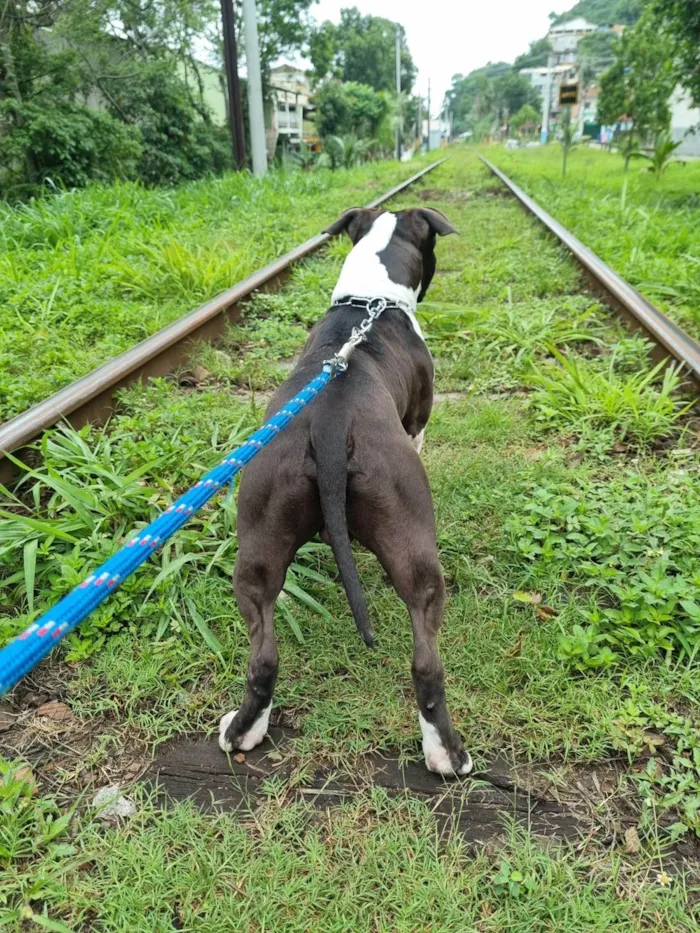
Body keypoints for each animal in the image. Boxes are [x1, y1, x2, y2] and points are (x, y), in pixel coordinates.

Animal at [219, 208, 470, 776]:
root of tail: (329, 424)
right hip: (416, 551)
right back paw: (447, 754)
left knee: (262, 656)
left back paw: (243, 731)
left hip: (257, 546)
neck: (368, 303)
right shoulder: (418, 425)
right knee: (427, 663)